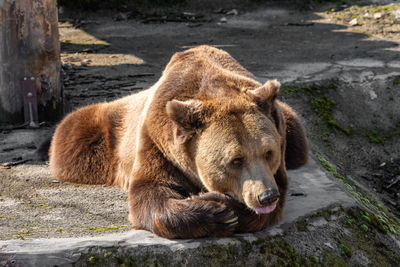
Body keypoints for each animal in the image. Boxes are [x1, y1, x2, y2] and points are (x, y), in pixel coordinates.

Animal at [49, 45, 306, 239]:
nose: (266, 196)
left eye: (269, 152)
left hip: (291, 126)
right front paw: (216, 213)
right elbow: (151, 192)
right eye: (236, 160)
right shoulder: (158, 143)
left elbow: (270, 205)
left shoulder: (279, 139)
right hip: (106, 134)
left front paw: (223, 206)